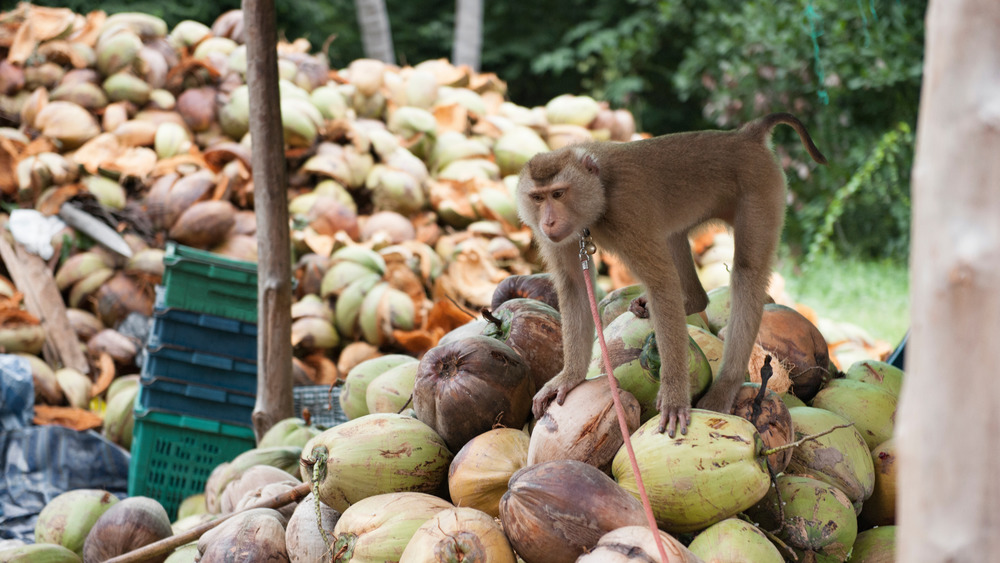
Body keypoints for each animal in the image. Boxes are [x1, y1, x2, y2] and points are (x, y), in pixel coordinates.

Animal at [520, 113, 824, 436]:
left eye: (558, 193)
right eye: (537, 198)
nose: (548, 222)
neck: (599, 192)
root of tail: (745, 136)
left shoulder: (625, 213)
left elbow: (661, 283)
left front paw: (675, 397)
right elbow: (575, 286)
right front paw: (569, 377)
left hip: (761, 188)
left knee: (747, 273)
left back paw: (725, 386)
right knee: (673, 236)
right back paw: (692, 301)